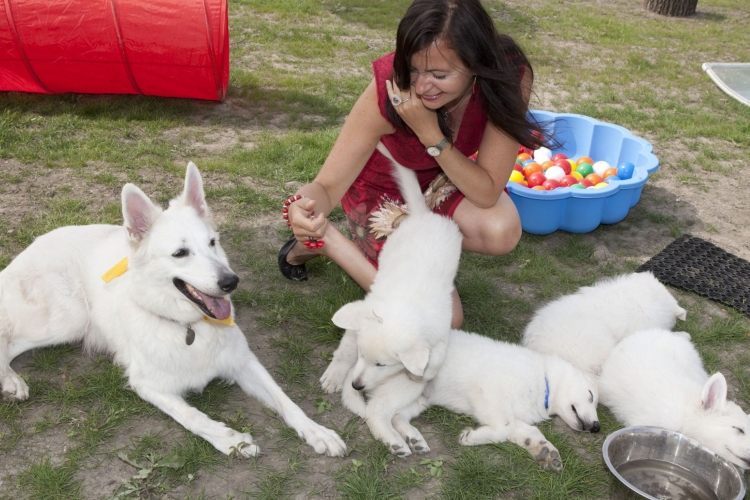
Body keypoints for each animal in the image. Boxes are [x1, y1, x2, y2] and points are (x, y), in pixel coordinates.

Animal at [0, 163, 346, 458]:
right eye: (180, 253)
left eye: (212, 243)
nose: (231, 282)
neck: (188, 326)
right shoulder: (148, 385)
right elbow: (192, 417)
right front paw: (232, 441)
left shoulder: (244, 362)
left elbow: (285, 399)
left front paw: (317, 431)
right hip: (69, 318)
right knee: (9, 340)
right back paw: (12, 381)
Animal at [322, 142, 464, 458]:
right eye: (362, 356)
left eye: (381, 365)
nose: (356, 385)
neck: (404, 303)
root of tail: (422, 215)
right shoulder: (364, 312)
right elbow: (345, 347)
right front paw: (336, 373)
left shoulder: (441, 331)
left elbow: (433, 358)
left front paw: (421, 374)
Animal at [340, 330, 600, 470]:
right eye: (590, 395)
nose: (597, 427)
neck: (543, 381)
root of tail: (359, 369)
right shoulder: (487, 395)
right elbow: (504, 429)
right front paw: (470, 437)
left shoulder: (507, 413)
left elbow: (524, 430)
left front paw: (544, 451)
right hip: (409, 384)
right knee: (376, 411)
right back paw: (394, 441)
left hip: (421, 398)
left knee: (396, 415)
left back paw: (414, 438)